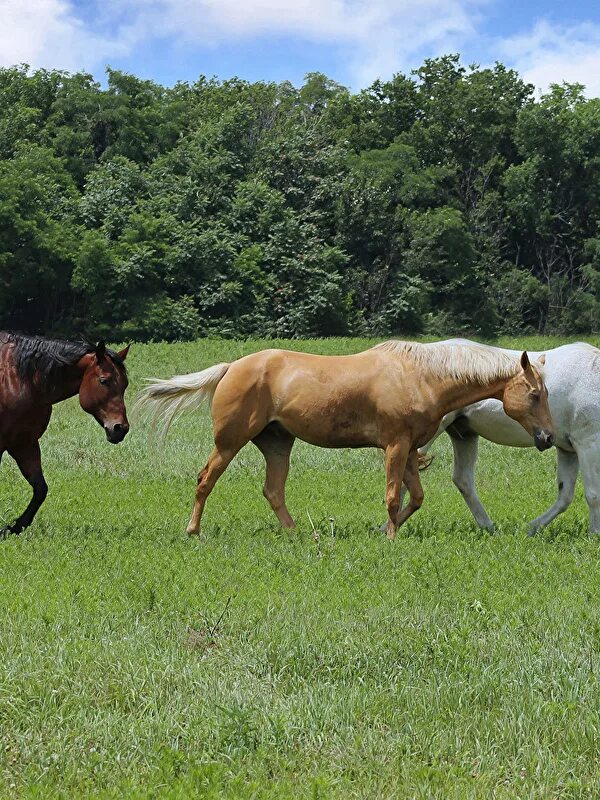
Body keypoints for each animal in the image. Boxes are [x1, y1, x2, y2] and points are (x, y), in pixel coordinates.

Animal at [0, 332, 129, 536]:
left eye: (125, 384)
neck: (20, 379)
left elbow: (40, 489)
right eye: (104, 381)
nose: (120, 428)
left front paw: (14, 527)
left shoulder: (24, 443)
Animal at [414, 340, 600, 536]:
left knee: (462, 480)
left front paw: (532, 528)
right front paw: (594, 534)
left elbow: (565, 496)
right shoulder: (588, 444)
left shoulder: (567, 450)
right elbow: (593, 494)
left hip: (464, 436)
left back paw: (488, 527)